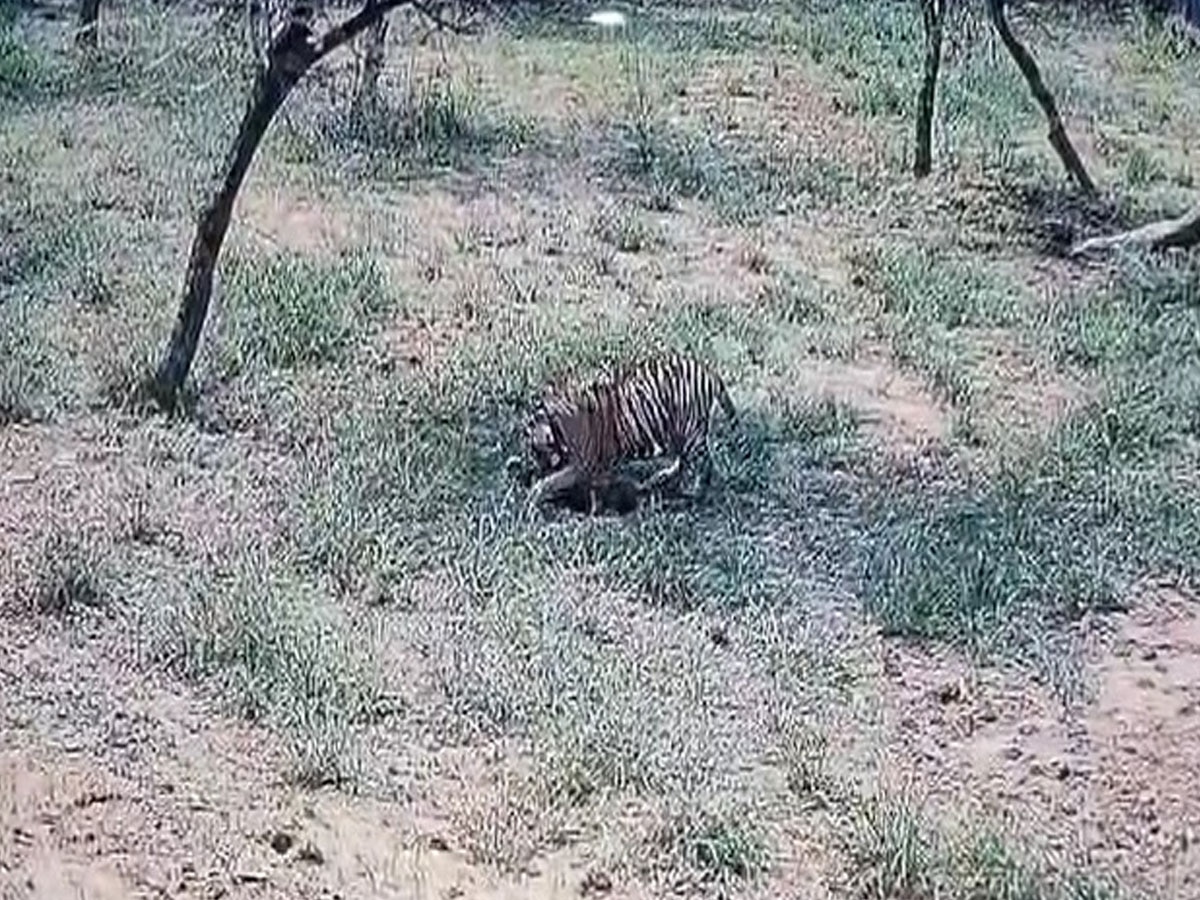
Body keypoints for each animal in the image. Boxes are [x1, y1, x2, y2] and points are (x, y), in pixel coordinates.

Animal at [516, 355, 739, 518]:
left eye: (533, 448)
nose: (536, 466)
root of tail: (709, 371)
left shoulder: (583, 465)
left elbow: (552, 482)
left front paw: (532, 497)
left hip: (690, 431)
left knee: (705, 462)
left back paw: (695, 494)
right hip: (676, 431)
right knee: (682, 461)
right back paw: (658, 480)